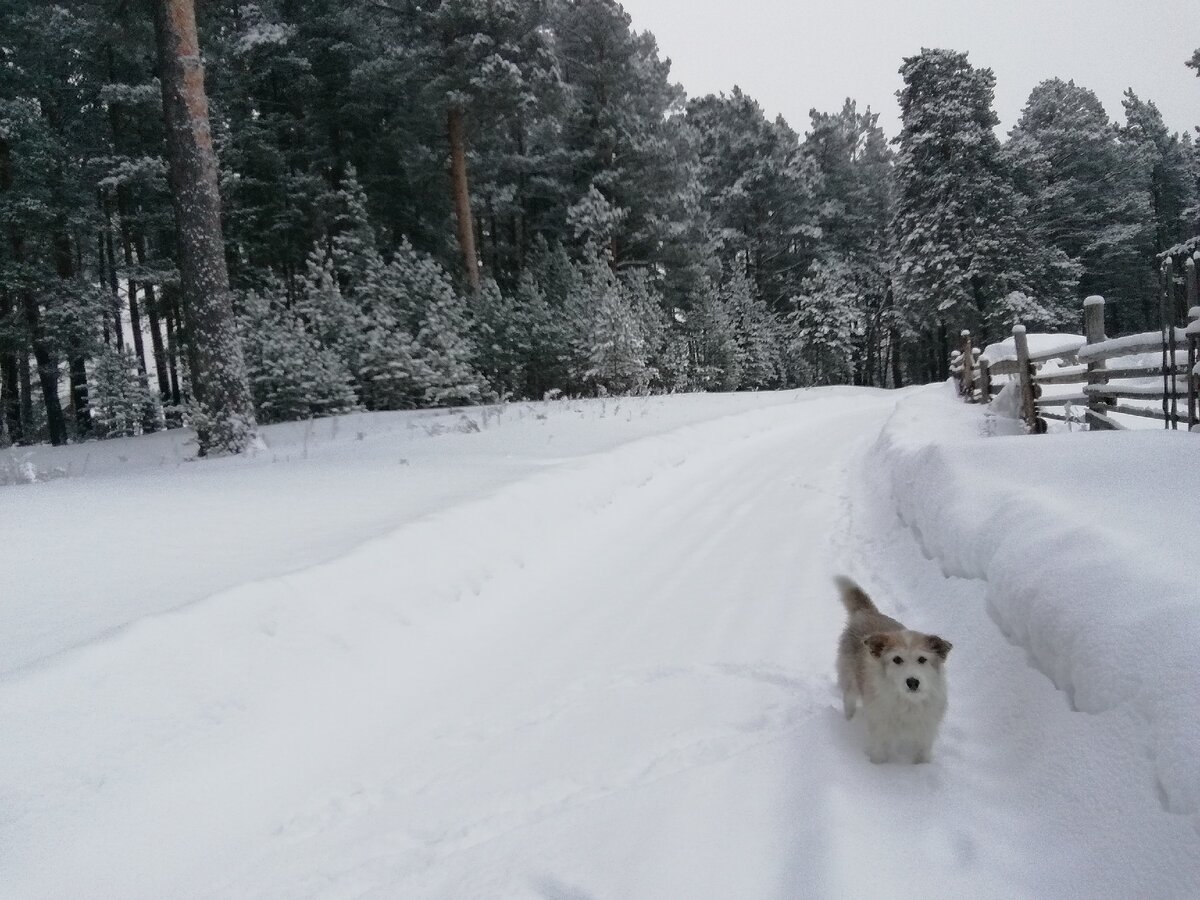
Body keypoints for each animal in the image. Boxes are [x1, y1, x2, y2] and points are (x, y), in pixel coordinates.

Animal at [835, 580, 955, 763]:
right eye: (897, 659)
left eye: (922, 659)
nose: (912, 682)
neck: (908, 701)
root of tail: (868, 613)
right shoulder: (881, 732)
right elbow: (879, 755)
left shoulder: (925, 734)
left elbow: (921, 756)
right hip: (850, 682)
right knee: (849, 701)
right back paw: (849, 721)